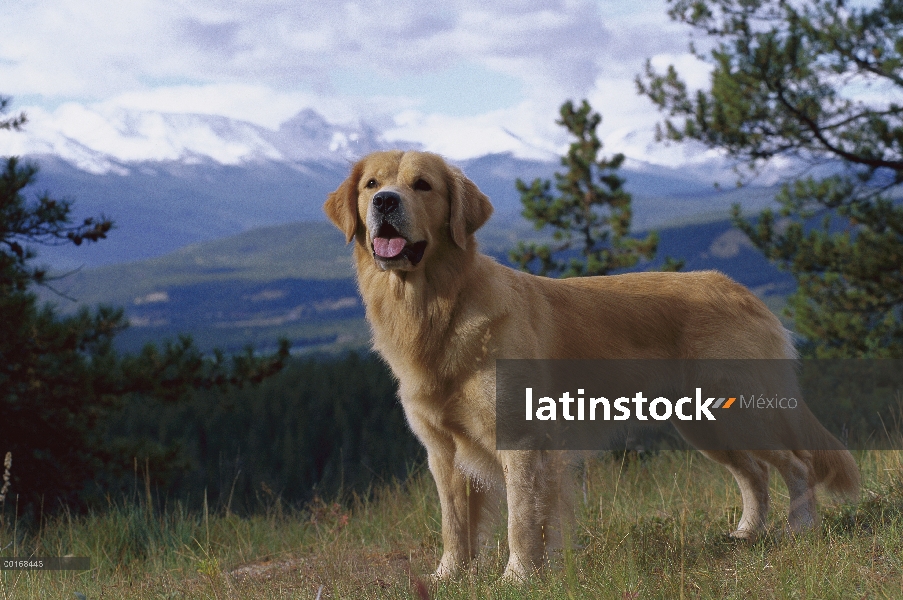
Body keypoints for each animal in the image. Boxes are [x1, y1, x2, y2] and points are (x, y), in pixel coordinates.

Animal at [324, 150, 860, 580]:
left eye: (422, 185)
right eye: (371, 184)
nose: (385, 203)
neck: (437, 308)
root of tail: (739, 289)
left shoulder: (521, 439)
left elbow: (522, 520)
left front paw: (518, 578)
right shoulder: (442, 451)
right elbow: (454, 525)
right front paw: (449, 577)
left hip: (740, 410)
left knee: (796, 464)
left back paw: (800, 529)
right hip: (706, 425)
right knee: (755, 474)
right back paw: (746, 533)